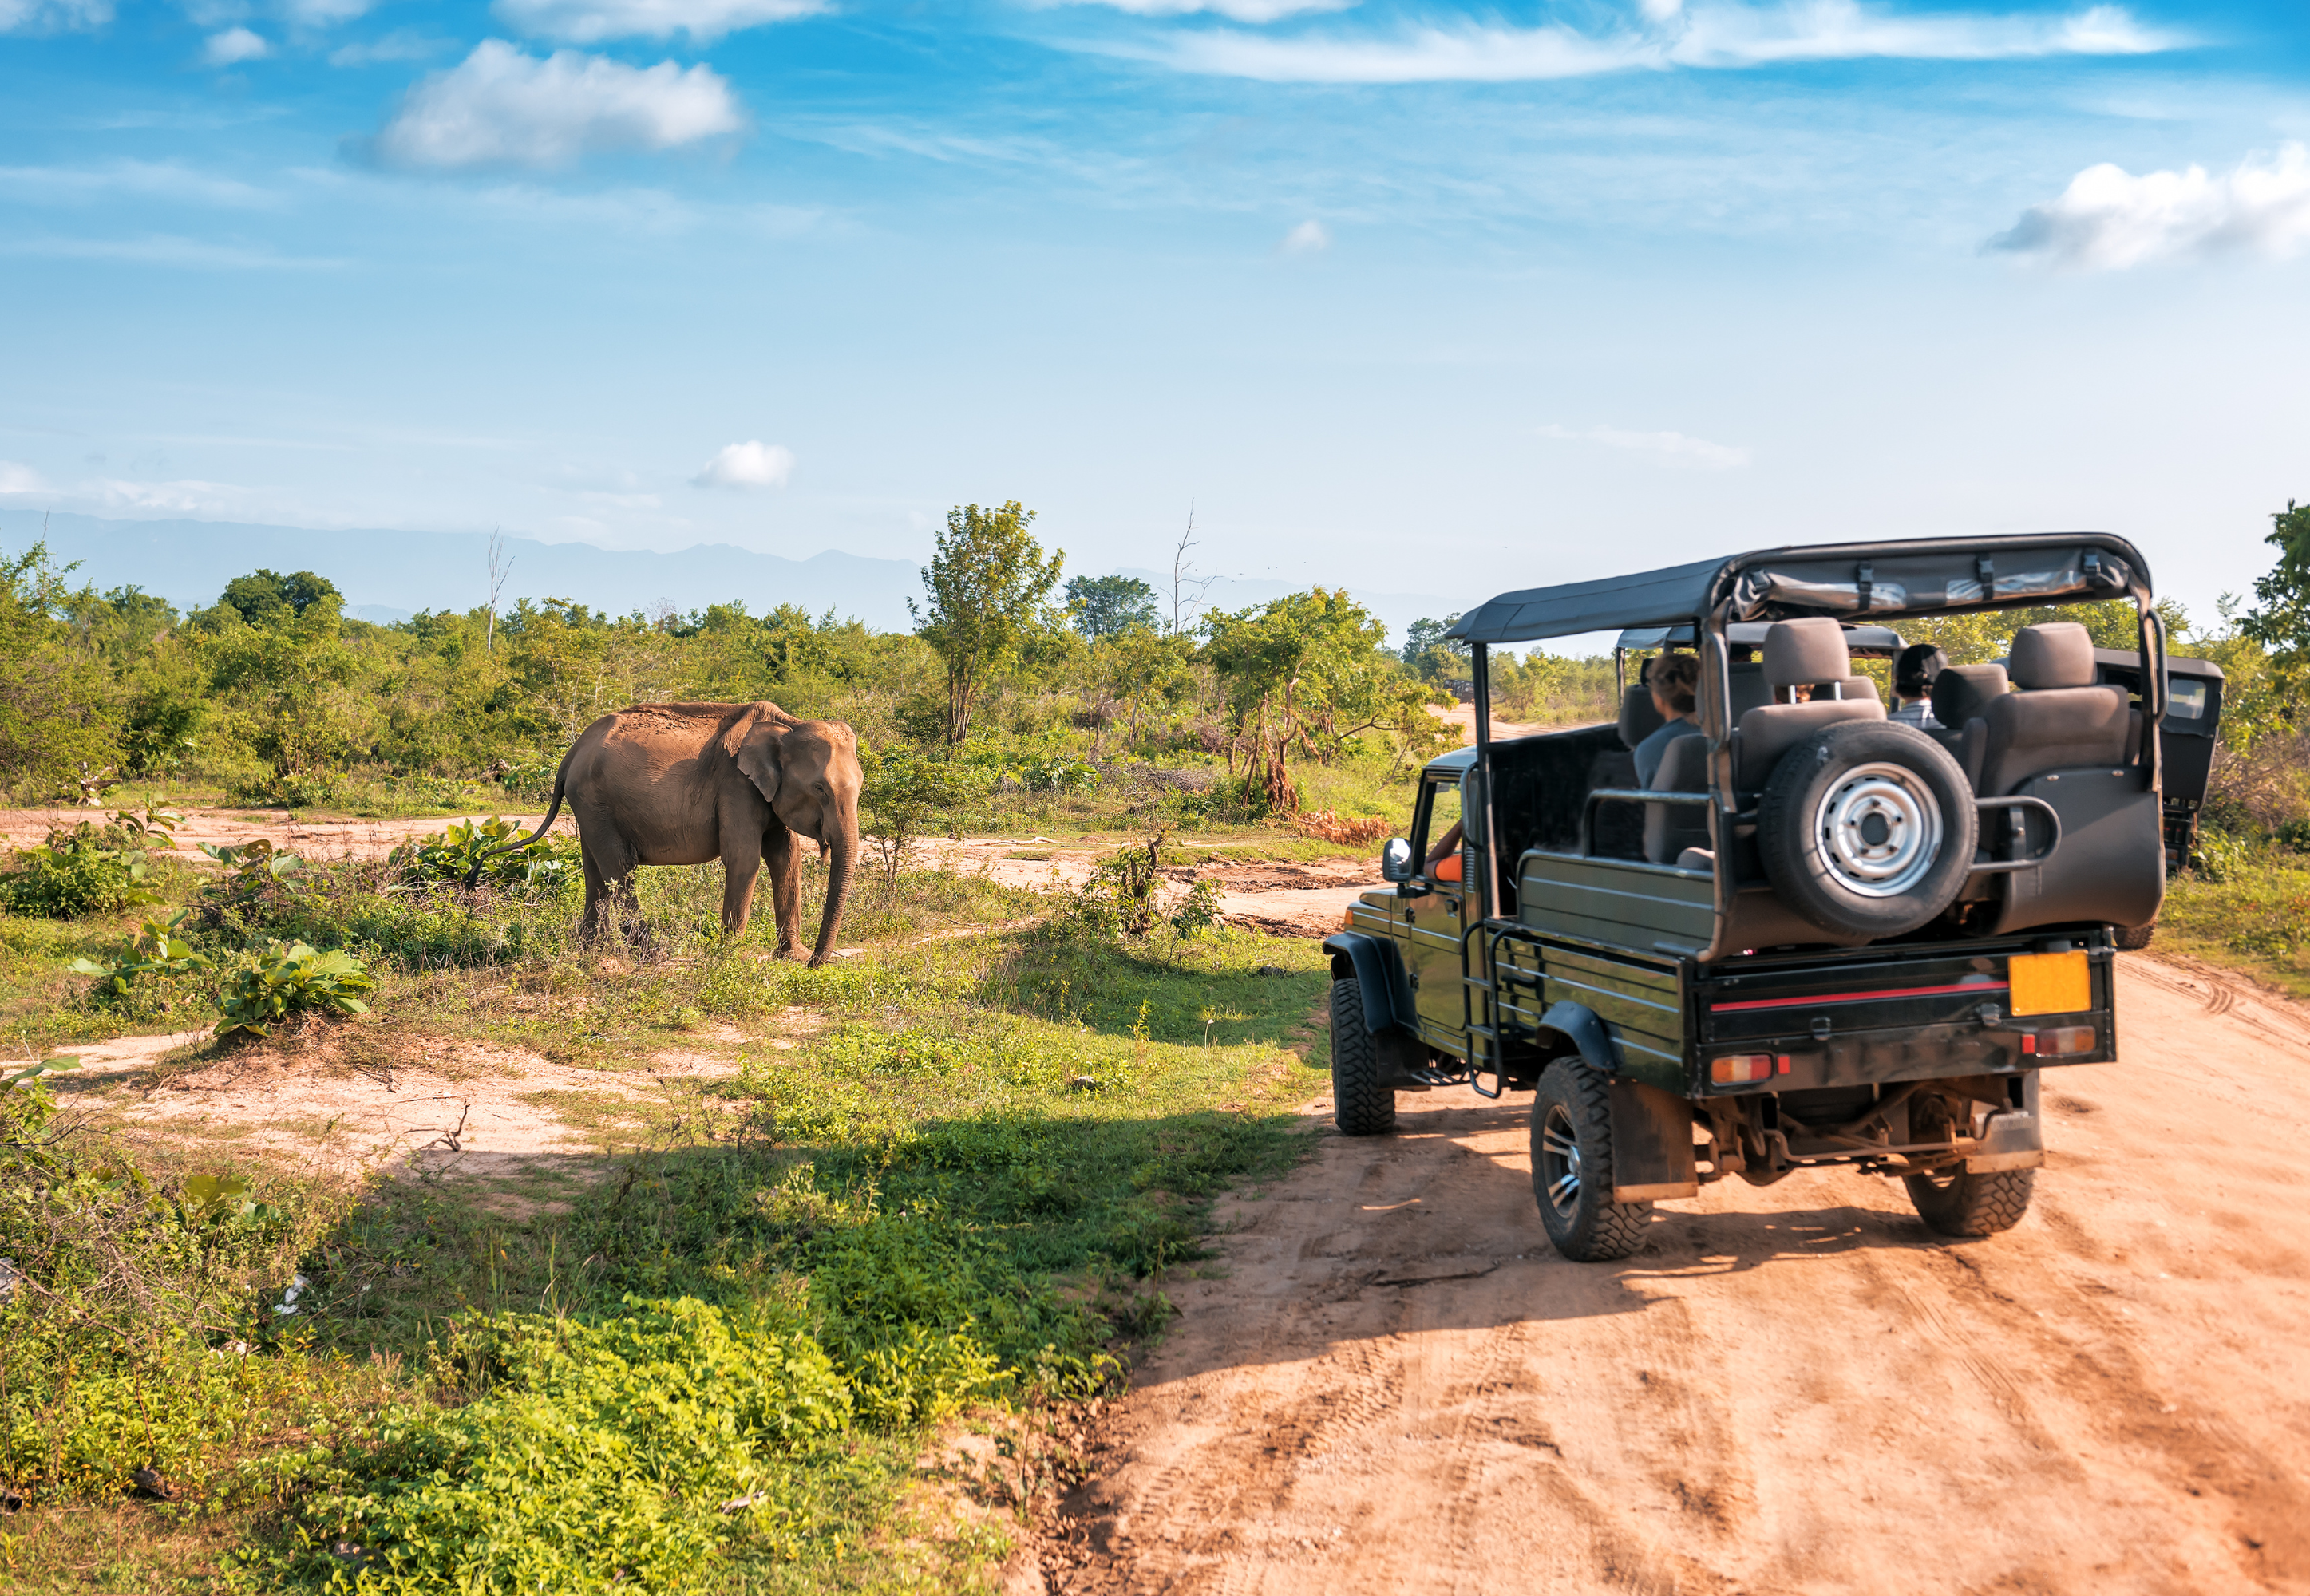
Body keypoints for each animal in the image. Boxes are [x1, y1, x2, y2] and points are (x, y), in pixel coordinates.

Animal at [464, 697, 864, 961]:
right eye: (820, 789)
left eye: (860, 786)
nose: (818, 961)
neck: (786, 724)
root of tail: (571, 753)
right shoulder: (736, 786)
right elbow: (745, 860)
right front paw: (733, 958)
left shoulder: (765, 793)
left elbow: (786, 857)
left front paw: (792, 957)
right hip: (595, 801)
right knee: (618, 868)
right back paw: (654, 954)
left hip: (589, 806)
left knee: (595, 873)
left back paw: (592, 953)